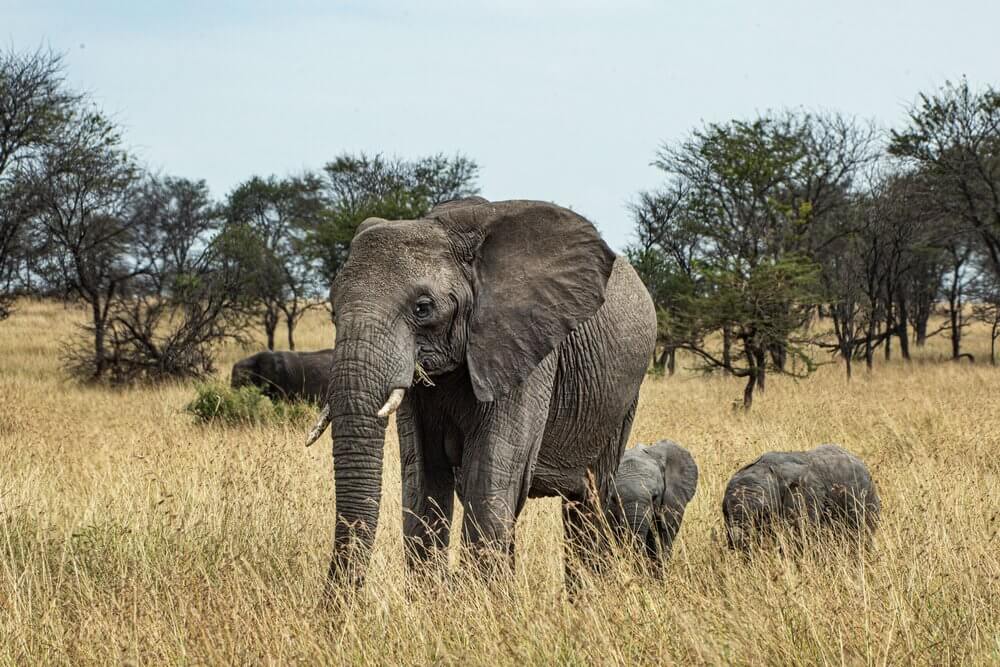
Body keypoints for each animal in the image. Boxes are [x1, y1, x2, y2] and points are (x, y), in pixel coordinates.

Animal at [305, 197, 657, 587]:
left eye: (423, 308)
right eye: (333, 309)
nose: (336, 602)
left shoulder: (524, 346)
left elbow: (488, 477)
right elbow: (423, 479)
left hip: (622, 398)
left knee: (589, 498)